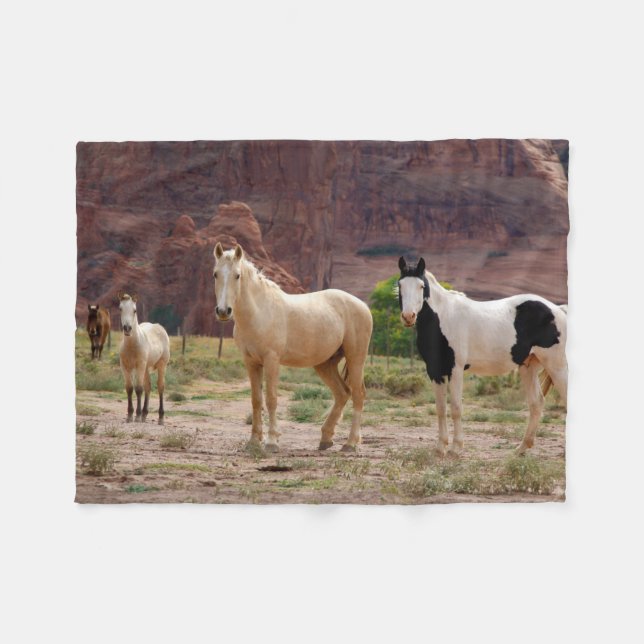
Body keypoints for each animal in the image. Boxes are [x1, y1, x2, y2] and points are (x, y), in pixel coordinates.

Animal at [117, 292, 170, 424]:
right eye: (120, 309)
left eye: (135, 310)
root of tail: (160, 328)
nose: (127, 328)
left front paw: (136, 415)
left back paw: (160, 417)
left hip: (161, 365)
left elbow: (138, 389)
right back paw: (144, 414)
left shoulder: (140, 366)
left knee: (160, 387)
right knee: (148, 387)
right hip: (146, 368)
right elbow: (129, 388)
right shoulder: (125, 366)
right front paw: (130, 415)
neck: (132, 345)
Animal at [213, 242, 373, 452]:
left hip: (356, 359)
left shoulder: (271, 360)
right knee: (342, 393)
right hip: (325, 364)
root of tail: (363, 305)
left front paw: (272, 442)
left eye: (237, 275)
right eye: (215, 274)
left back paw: (350, 443)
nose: (223, 311)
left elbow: (271, 399)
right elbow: (256, 400)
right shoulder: (251, 362)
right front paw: (253, 441)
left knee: (358, 395)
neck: (259, 312)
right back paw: (326, 439)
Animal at [397, 256, 567, 456]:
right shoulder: (435, 371)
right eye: (400, 285)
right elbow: (440, 408)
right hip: (529, 367)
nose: (408, 316)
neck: (443, 318)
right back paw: (521, 449)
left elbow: (456, 407)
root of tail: (558, 309)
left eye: (421, 286)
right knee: (536, 403)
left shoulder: (455, 369)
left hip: (556, 366)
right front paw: (440, 448)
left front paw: (456, 448)